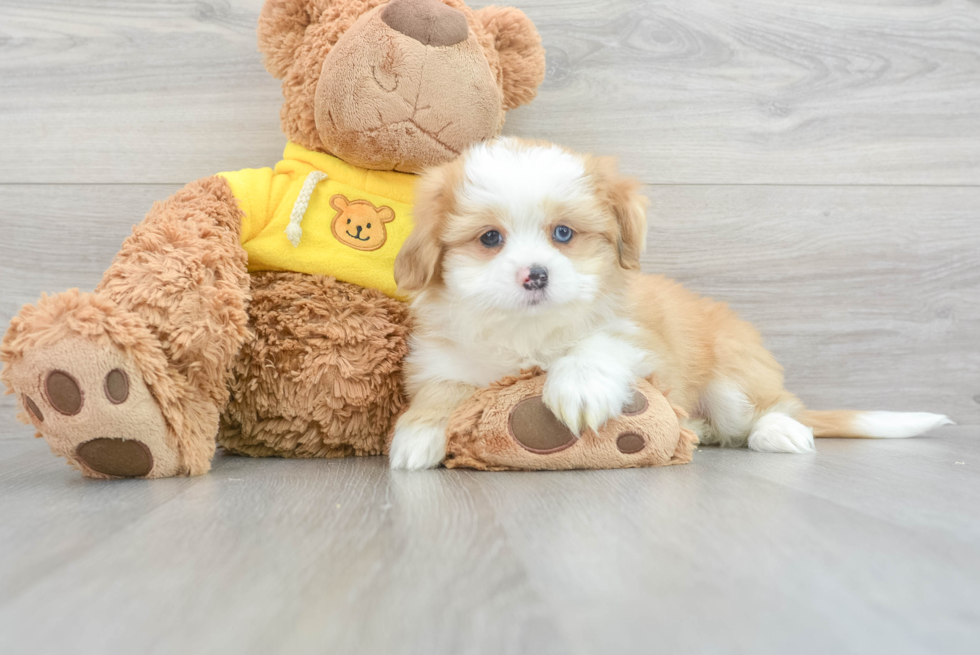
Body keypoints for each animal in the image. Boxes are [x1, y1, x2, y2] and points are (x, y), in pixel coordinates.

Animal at [388, 136, 948, 468]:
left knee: (770, 409)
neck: (528, 334)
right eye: (490, 239)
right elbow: (440, 390)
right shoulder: (442, 357)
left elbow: (597, 346)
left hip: (734, 379)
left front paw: (579, 388)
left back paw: (781, 432)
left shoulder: (640, 341)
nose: (536, 275)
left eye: (563, 233)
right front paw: (419, 435)